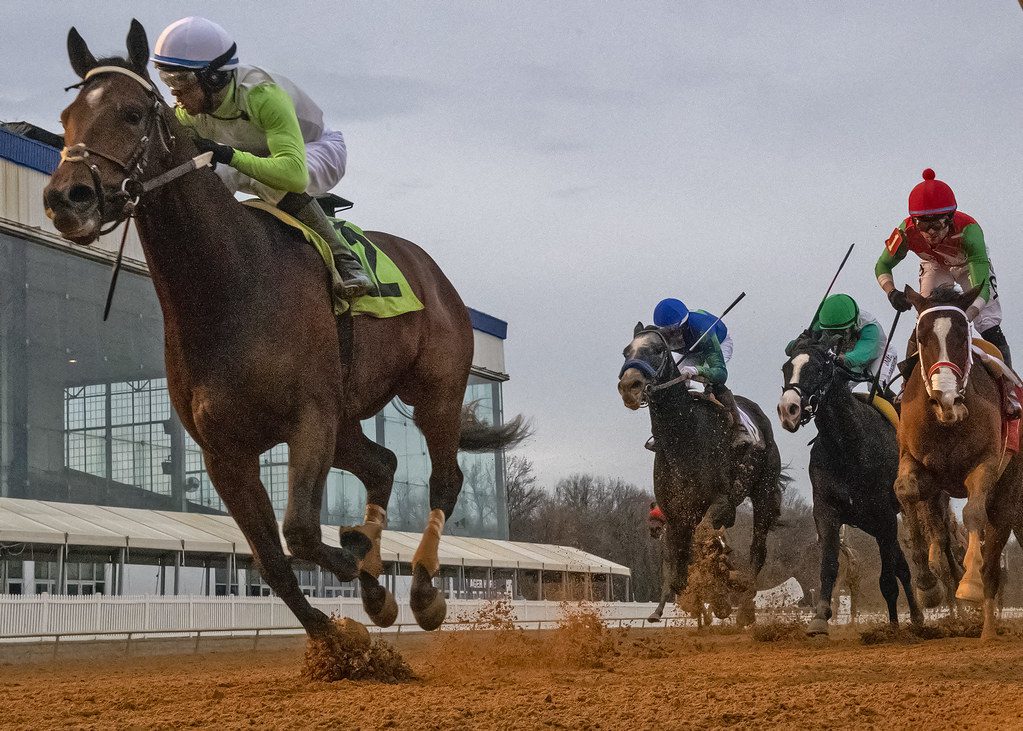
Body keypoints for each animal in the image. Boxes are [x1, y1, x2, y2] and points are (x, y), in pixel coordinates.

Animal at [46, 21, 527, 642]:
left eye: (131, 113)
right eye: (66, 117)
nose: (66, 198)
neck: (231, 286)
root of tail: (434, 272)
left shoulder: (309, 417)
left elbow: (299, 531)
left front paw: (355, 557)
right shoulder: (224, 450)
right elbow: (272, 560)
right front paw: (341, 631)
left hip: (435, 395)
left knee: (445, 480)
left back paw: (421, 590)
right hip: (347, 420)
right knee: (383, 464)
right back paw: (377, 584)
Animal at [613, 325, 781, 621]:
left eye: (658, 349)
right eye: (626, 351)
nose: (629, 386)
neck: (684, 438)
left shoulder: (722, 502)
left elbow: (706, 542)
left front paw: (723, 592)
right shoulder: (677, 514)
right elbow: (680, 572)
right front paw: (703, 599)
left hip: (764, 491)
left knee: (758, 551)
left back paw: (744, 606)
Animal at [773, 331, 928, 633]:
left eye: (817, 369)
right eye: (786, 368)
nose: (789, 410)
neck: (847, 444)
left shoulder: (883, 513)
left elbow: (888, 577)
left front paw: (895, 625)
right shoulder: (827, 511)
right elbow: (829, 566)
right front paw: (820, 618)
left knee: (903, 566)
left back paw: (913, 616)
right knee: (901, 564)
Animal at [896, 282, 1023, 637]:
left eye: (961, 337)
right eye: (921, 336)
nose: (946, 398)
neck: (947, 423)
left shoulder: (987, 463)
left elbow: (973, 513)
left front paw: (969, 582)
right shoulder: (914, 461)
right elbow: (907, 491)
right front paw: (927, 584)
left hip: (1009, 491)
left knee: (995, 553)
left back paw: (988, 627)